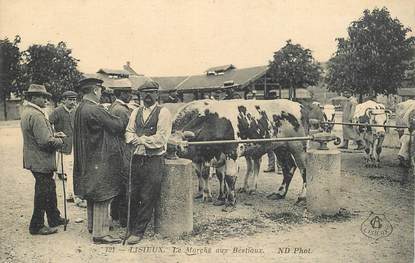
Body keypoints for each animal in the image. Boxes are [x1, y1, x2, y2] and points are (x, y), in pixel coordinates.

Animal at [171, 99, 310, 208]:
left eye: (178, 146)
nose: (169, 151)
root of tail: (299, 105)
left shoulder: (231, 153)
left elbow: (229, 177)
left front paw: (230, 201)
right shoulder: (217, 156)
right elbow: (220, 176)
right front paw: (221, 198)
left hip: (299, 147)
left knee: (304, 170)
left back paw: (302, 197)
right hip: (280, 148)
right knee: (288, 167)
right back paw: (279, 193)